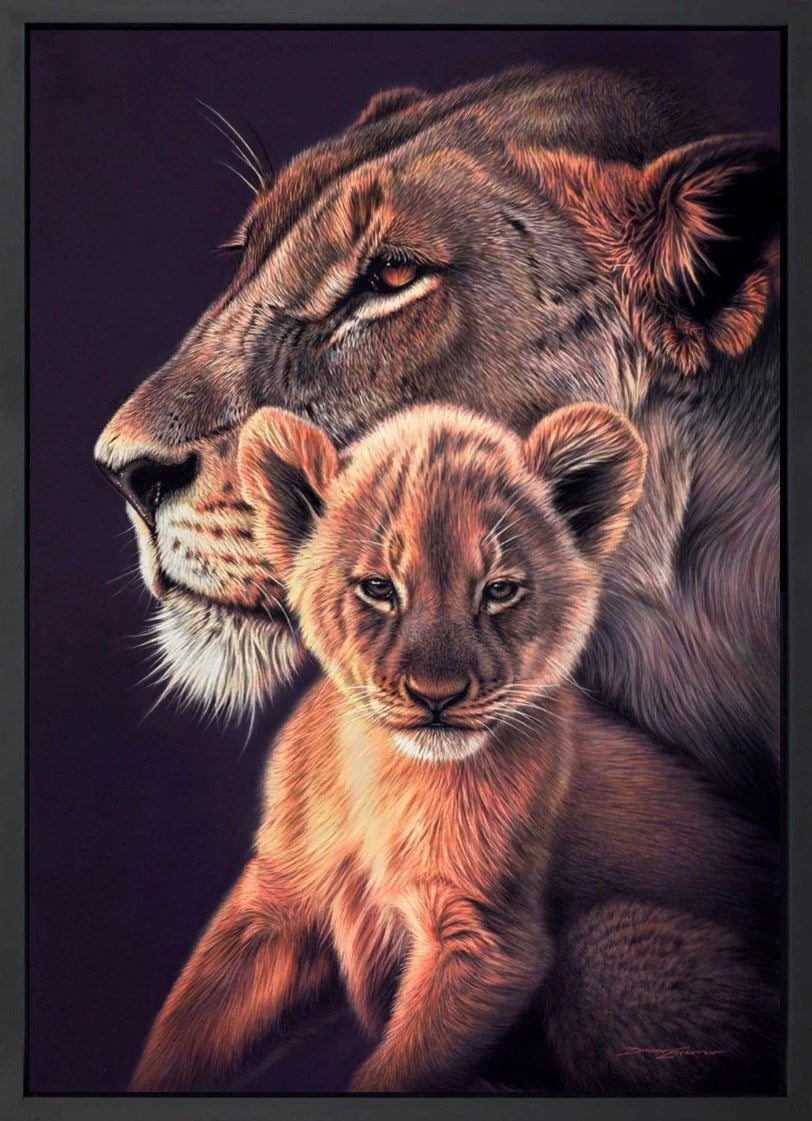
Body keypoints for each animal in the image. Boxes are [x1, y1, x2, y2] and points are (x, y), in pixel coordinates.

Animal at [129, 402, 777, 1093]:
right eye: (378, 588)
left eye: (499, 590)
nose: (436, 697)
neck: (387, 774)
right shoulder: (275, 905)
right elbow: (190, 1027)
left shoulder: (483, 941)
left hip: (609, 951)